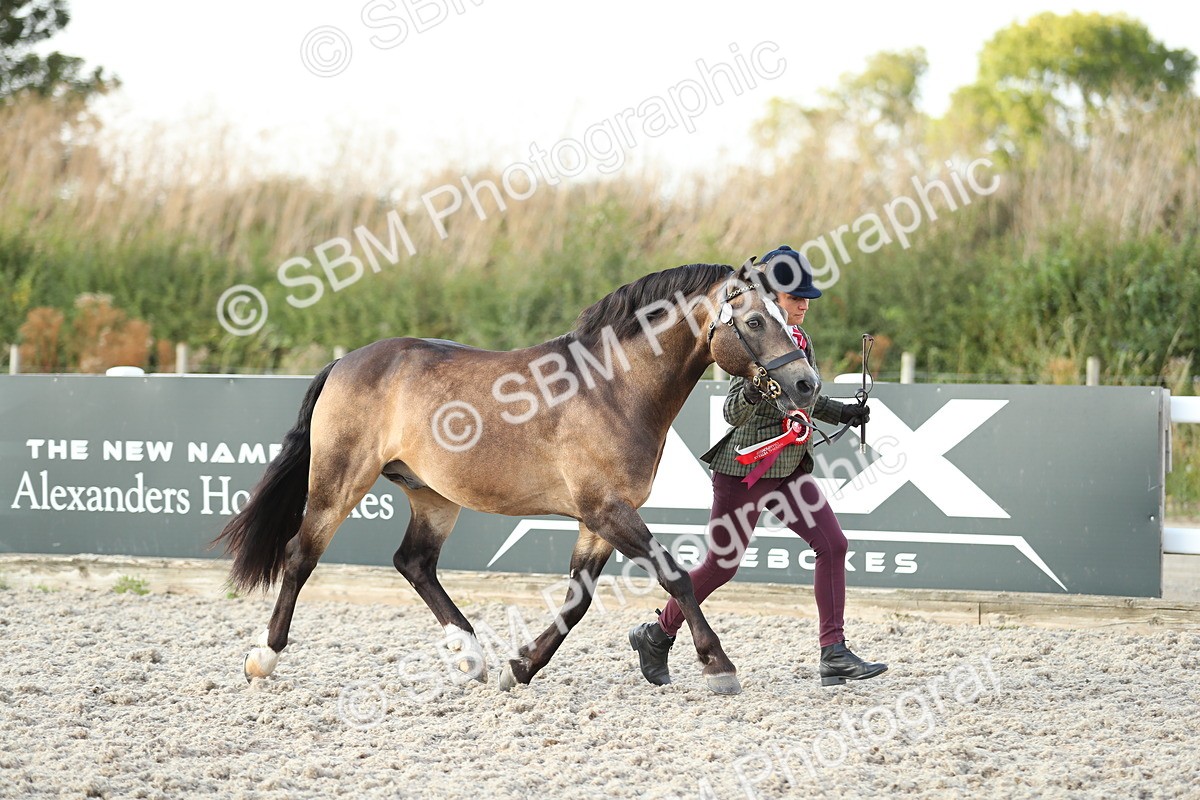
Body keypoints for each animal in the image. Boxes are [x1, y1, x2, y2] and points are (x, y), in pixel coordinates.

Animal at [214, 259, 821, 695]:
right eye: (755, 321)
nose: (807, 384)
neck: (613, 390)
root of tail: (346, 362)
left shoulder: (598, 519)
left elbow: (577, 600)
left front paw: (520, 667)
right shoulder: (608, 509)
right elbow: (675, 577)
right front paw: (719, 665)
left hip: (432, 496)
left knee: (414, 562)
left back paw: (471, 656)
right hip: (340, 480)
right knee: (301, 555)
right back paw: (263, 658)